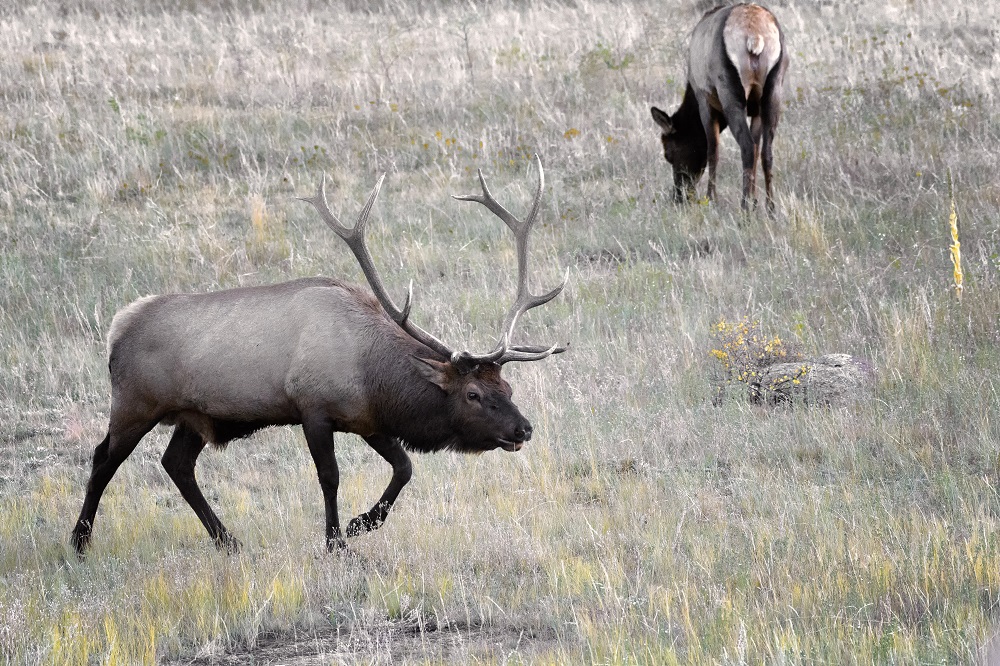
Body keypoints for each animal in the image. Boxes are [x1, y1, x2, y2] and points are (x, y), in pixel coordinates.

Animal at [70, 157, 568, 556]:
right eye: (473, 394)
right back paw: (80, 540)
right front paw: (336, 541)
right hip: (135, 402)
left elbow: (404, 467)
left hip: (194, 415)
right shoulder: (313, 407)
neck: (374, 375)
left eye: (508, 386)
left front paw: (361, 523)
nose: (524, 429)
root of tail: (117, 330)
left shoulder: (367, 418)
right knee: (103, 458)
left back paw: (228, 540)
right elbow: (330, 476)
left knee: (176, 464)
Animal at [652, 3, 792, 211]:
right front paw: (755, 201)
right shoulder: (756, 111)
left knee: (747, 146)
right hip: (773, 89)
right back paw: (771, 208)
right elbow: (758, 147)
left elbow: (712, 150)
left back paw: (744, 209)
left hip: (729, 90)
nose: (679, 196)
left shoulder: (704, 100)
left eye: (668, 153)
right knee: (765, 151)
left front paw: (711, 199)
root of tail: (754, 37)